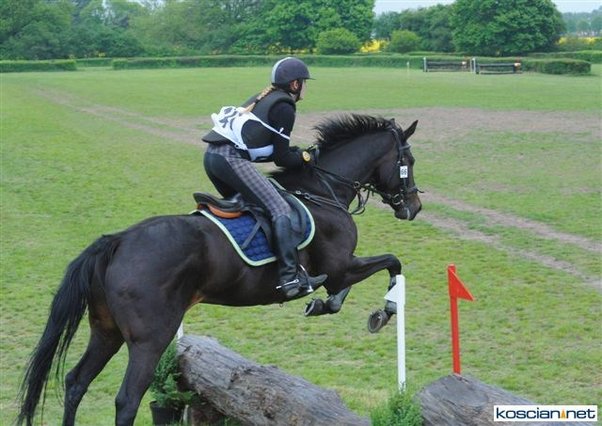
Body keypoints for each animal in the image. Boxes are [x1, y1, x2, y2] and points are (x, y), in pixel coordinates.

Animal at [17, 113, 422, 425]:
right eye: (410, 161)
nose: (414, 207)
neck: (323, 192)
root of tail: (118, 241)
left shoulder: (340, 270)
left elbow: (351, 286)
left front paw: (324, 304)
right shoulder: (341, 267)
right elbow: (391, 263)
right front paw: (382, 312)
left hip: (105, 330)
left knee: (76, 382)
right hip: (151, 339)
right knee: (127, 400)